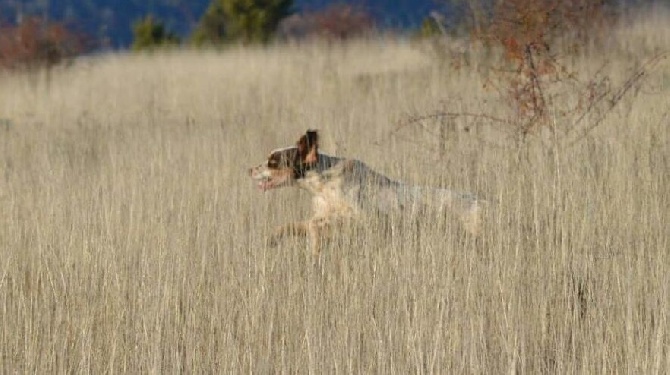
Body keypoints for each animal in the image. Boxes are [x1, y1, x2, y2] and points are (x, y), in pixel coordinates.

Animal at [249, 129, 486, 256]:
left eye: (272, 162)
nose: (249, 170)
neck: (324, 184)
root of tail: (479, 201)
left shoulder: (363, 219)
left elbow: (315, 225)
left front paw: (314, 249)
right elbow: (297, 225)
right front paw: (273, 238)